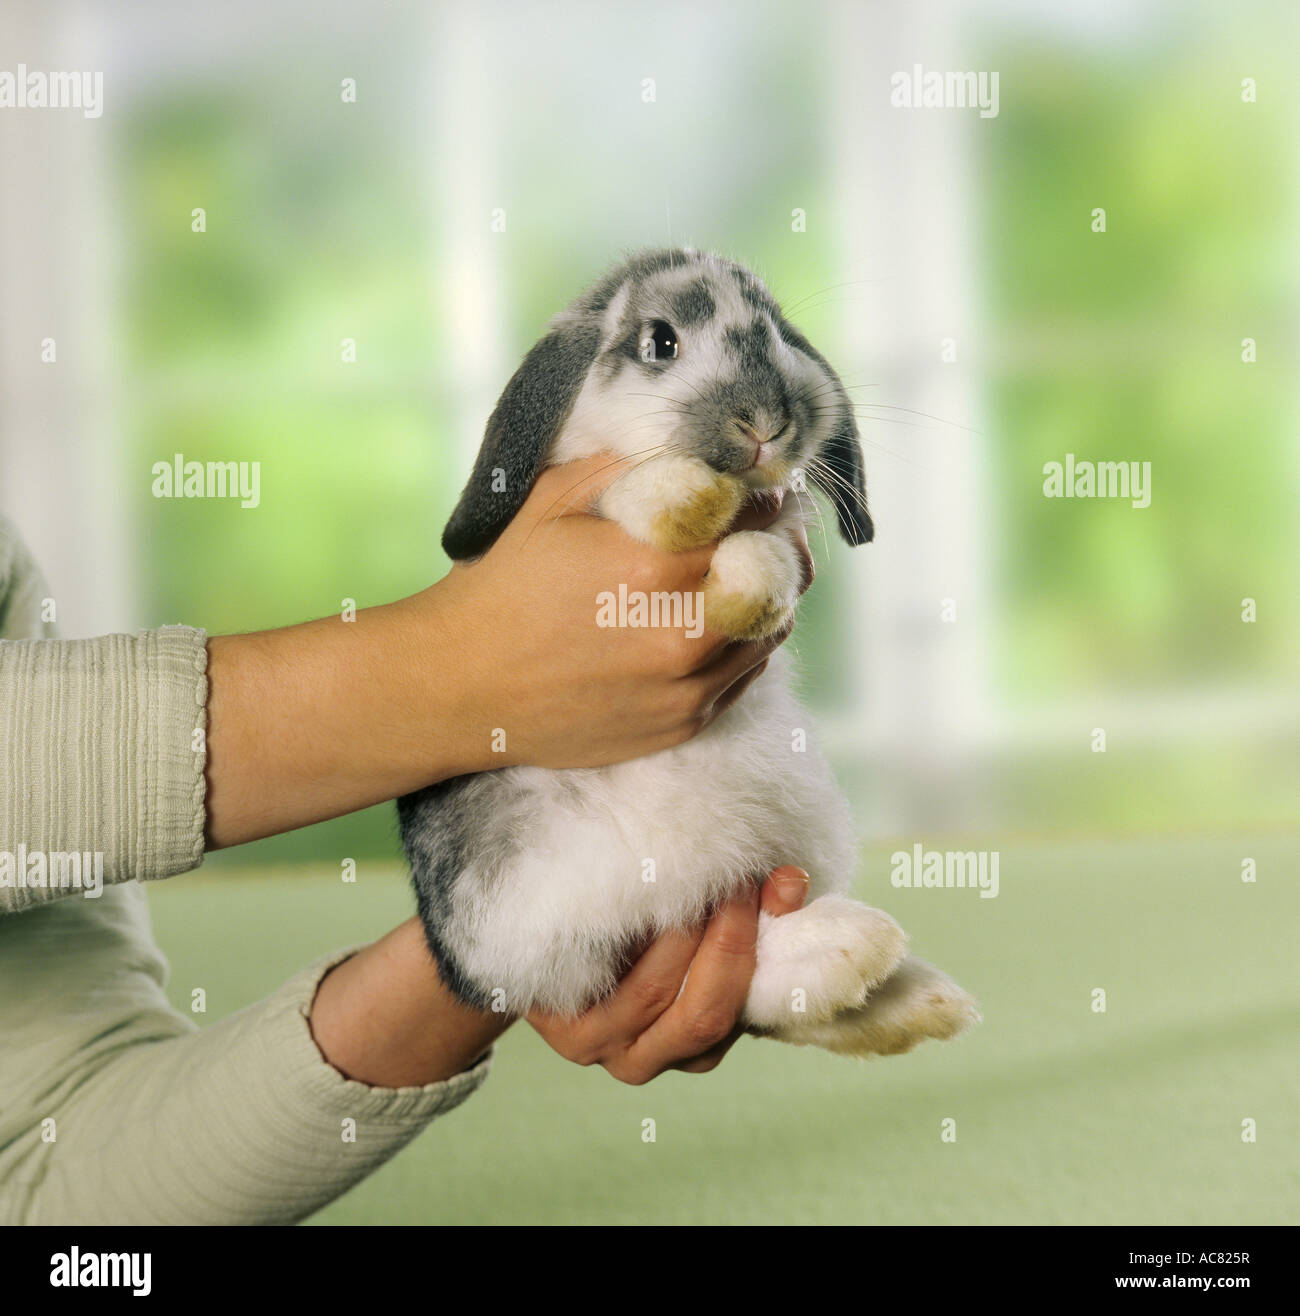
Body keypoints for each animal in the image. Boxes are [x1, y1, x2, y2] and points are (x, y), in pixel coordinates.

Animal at [399, 248, 979, 1057]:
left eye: (776, 331)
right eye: (660, 343)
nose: (765, 422)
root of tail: (470, 970)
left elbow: (763, 555)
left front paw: (754, 585)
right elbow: (638, 492)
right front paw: (691, 502)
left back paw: (914, 997)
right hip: (589, 889)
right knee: (728, 964)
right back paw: (858, 950)